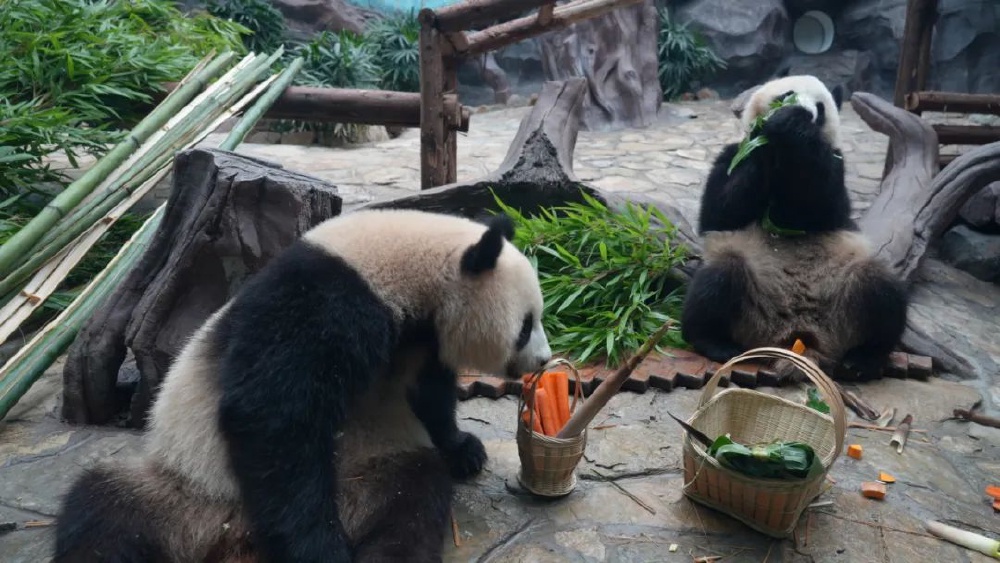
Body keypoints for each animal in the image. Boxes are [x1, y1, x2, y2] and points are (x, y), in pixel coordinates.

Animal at [52, 208, 556, 563]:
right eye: (526, 324)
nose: (543, 361)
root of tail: (231, 541)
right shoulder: (325, 300)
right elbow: (272, 412)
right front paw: (316, 551)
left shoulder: (422, 341)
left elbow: (429, 397)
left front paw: (464, 448)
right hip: (185, 490)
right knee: (103, 513)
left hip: (368, 479)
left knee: (411, 504)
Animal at [684, 71, 912, 378]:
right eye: (786, 94)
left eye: (820, 107)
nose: (804, 111)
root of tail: (797, 335)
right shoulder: (730, 156)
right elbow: (720, 211)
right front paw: (768, 138)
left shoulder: (834, 165)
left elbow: (822, 205)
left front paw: (794, 126)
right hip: (750, 298)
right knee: (718, 281)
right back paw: (716, 343)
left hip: (843, 291)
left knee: (880, 291)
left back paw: (864, 358)